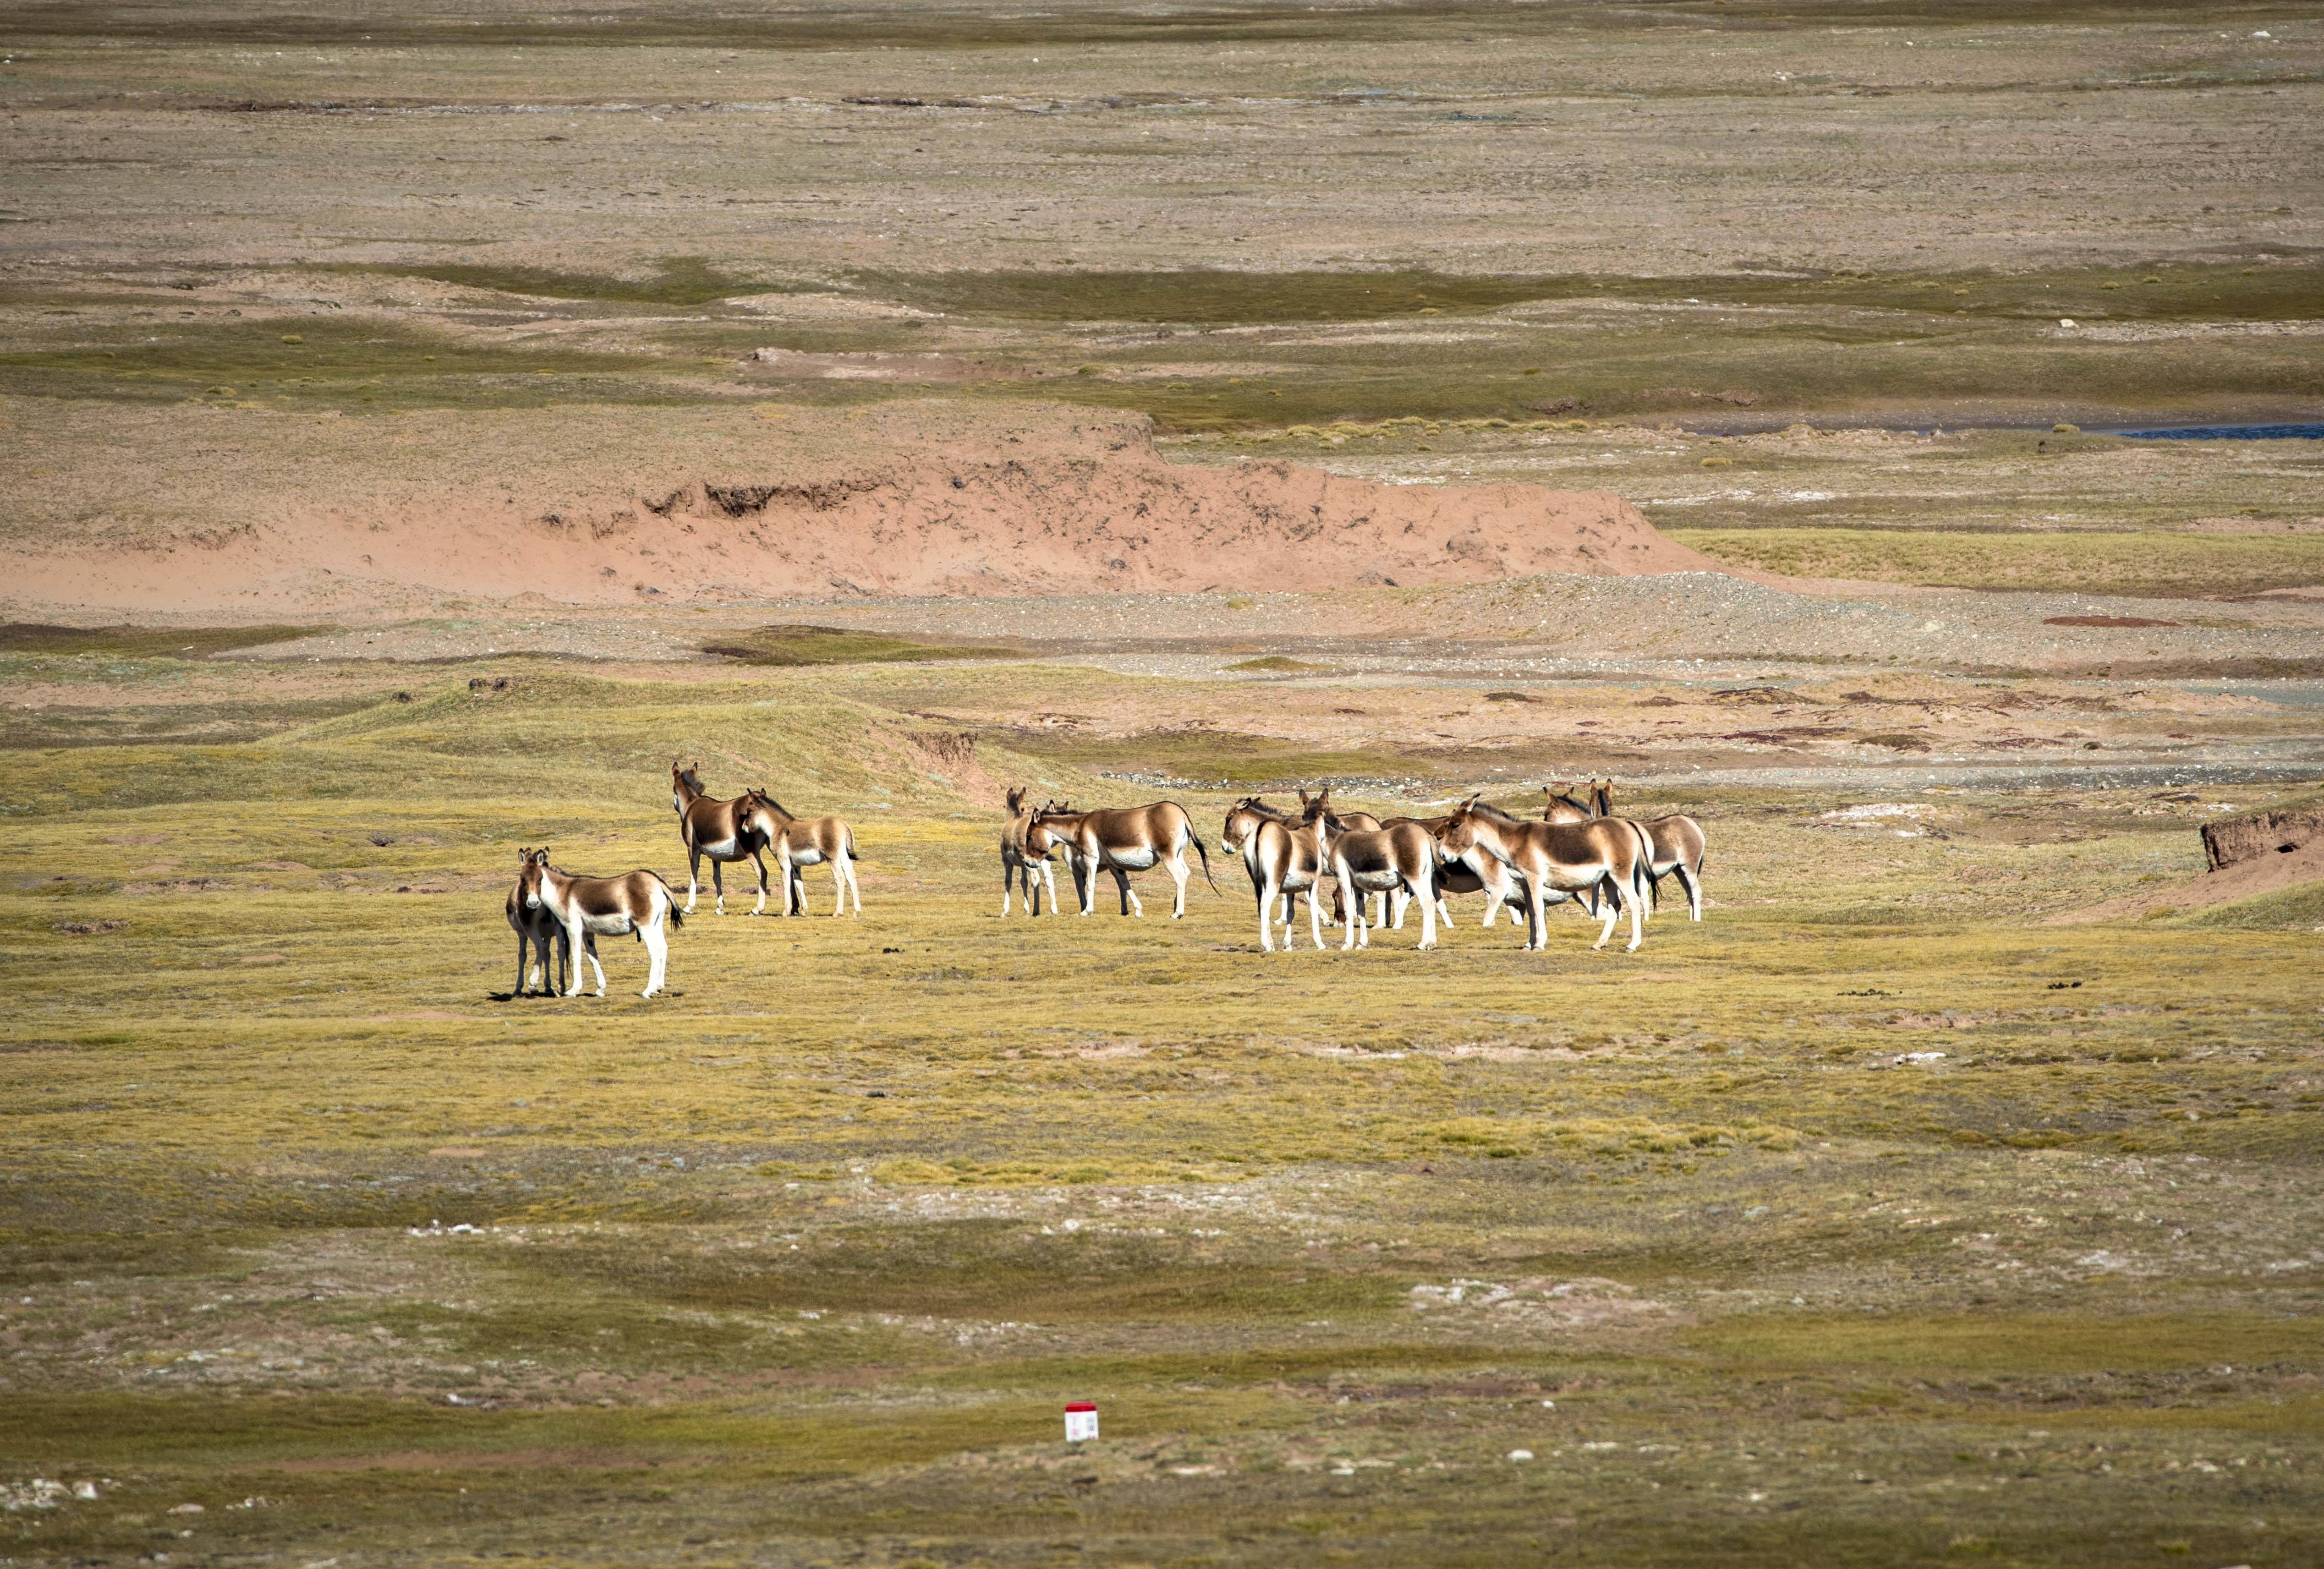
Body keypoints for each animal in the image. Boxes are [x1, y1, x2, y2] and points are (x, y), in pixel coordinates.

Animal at [518, 855, 679, 999]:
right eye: (523, 878)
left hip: (645, 926)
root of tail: (656, 881)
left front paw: (573, 991)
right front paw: (601, 990)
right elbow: (593, 957)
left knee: (655, 952)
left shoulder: (573, 928)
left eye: (540, 878)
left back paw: (647, 991)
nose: (533, 903)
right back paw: (658, 988)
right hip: (657, 924)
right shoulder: (587, 932)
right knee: (663, 948)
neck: (564, 892)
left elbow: (576, 956)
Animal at [1031, 804, 1217, 916]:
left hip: (1168, 856)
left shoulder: (1090, 860)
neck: (1081, 825)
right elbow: (1125, 885)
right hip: (1178, 855)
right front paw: (1137, 911)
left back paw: (1177, 913)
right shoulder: (1114, 865)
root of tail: (1181, 813)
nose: (1030, 863)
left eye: (1029, 835)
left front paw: (1087, 911)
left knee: (1180, 877)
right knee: (1187, 872)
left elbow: (1090, 885)